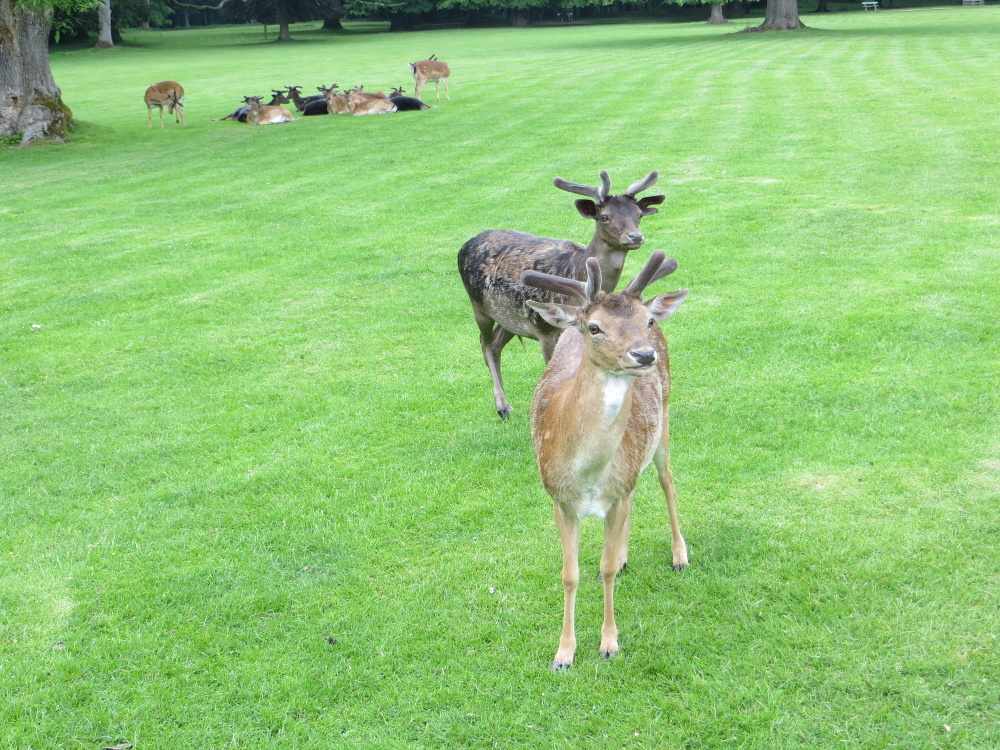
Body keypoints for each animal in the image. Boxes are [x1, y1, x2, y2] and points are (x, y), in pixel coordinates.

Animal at [458, 169, 664, 424]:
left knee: (496, 345)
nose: (635, 237)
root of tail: (465, 245)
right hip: (478, 306)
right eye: (604, 217)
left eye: (638, 215)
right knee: (485, 344)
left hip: (511, 318)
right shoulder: (545, 330)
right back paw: (502, 407)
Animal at [520, 250, 692, 672]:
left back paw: (680, 555)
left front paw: (609, 644)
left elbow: (606, 566)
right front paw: (563, 654)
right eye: (595, 327)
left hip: (664, 419)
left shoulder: (617, 492)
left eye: (646, 321)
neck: (589, 477)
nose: (643, 354)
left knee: (667, 481)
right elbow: (570, 574)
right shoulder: (559, 499)